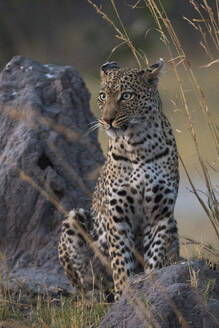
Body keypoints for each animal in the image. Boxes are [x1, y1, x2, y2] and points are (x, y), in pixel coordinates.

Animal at [58, 59, 180, 300]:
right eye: (102, 96)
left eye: (126, 96)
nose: (107, 120)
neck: (139, 145)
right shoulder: (117, 218)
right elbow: (121, 263)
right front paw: (125, 294)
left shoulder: (161, 216)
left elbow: (155, 257)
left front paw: (151, 286)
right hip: (73, 219)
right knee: (85, 284)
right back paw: (95, 296)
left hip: (174, 225)